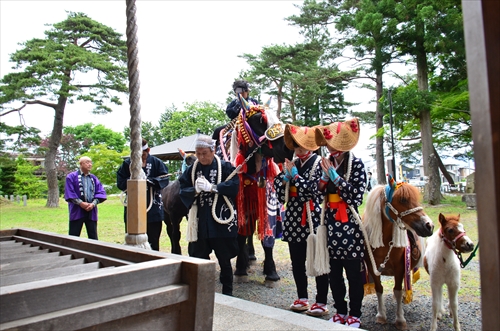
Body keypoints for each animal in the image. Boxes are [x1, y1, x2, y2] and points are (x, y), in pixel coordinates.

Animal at [362, 180, 436, 330]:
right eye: (403, 199)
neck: (383, 241)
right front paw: (381, 316)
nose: (429, 225)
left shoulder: (400, 268)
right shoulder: (373, 268)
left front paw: (400, 319)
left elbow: (397, 289)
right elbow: (379, 289)